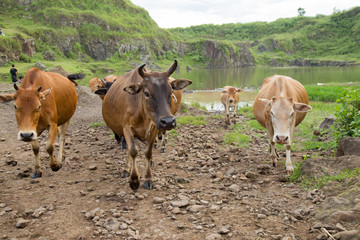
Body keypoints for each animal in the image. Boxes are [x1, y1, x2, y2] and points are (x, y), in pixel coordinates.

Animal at [101, 59, 191, 189]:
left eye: (171, 92)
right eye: (147, 93)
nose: (168, 121)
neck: (143, 114)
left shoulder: (154, 128)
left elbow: (148, 152)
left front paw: (148, 178)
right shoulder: (126, 129)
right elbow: (132, 151)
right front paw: (134, 180)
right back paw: (126, 169)